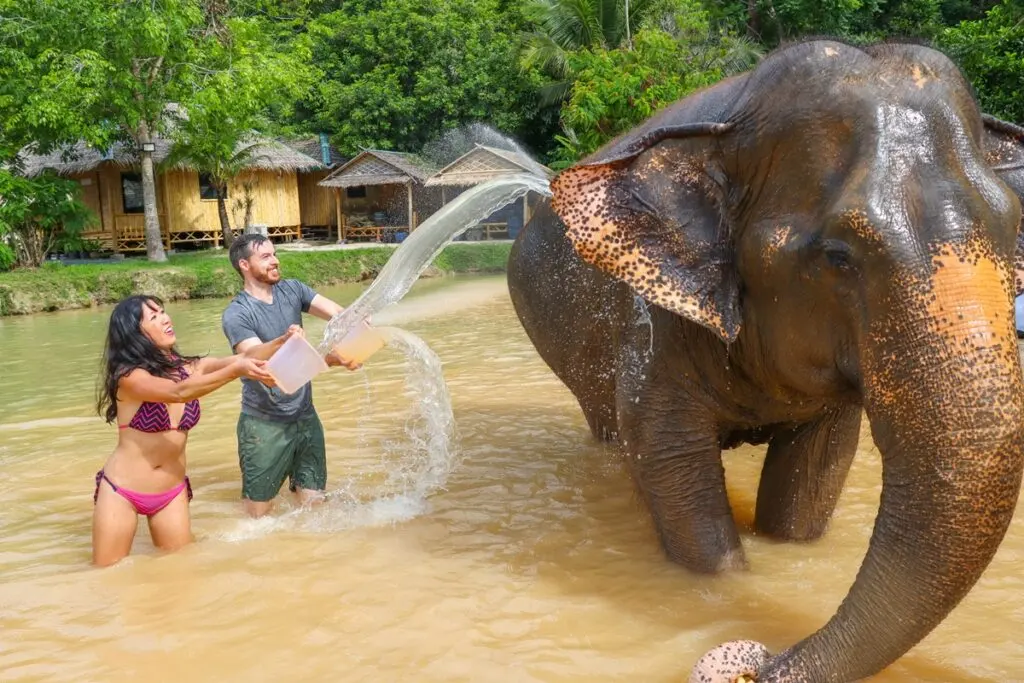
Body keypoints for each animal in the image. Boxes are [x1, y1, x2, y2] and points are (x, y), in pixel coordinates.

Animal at [507, 39, 1024, 681]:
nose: (763, 660)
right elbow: (670, 465)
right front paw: (722, 582)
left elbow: (817, 470)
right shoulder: (652, 324)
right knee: (610, 434)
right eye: (837, 256)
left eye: (1016, 225)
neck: (735, 117)